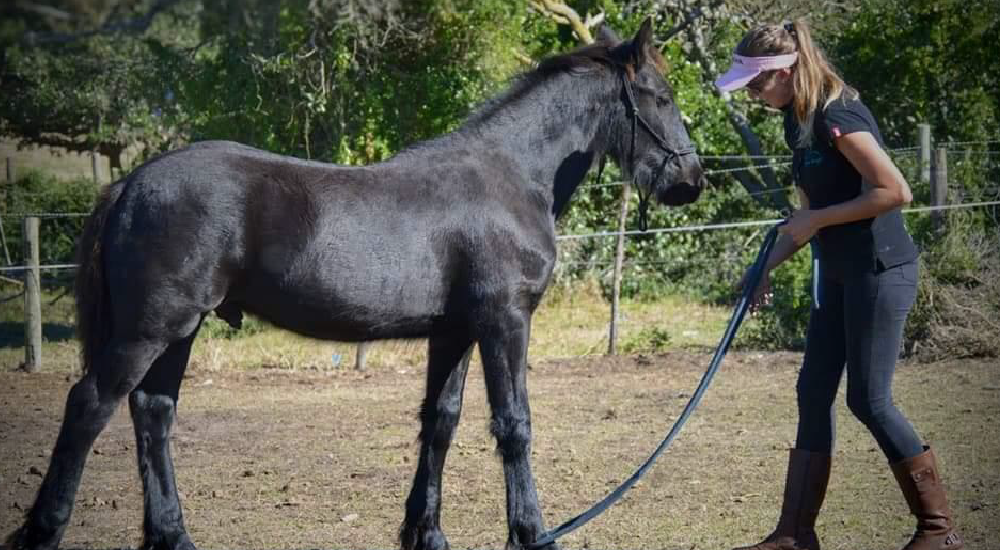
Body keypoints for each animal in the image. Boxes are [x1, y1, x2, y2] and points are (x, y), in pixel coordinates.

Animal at [7, 19, 703, 550]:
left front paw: (426, 534)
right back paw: (44, 530)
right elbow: (513, 425)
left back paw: (173, 536)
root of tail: (131, 182)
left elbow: (440, 421)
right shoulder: (505, 320)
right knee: (89, 405)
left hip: (178, 331)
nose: (690, 181)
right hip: (151, 328)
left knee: (152, 413)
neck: (509, 177)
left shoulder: (455, 330)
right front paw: (531, 534)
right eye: (662, 97)